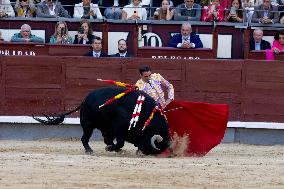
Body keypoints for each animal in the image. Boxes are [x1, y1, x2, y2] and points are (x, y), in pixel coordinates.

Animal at [33, 87, 171, 155]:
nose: (144, 153)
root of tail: (84, 101)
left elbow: (117, 142)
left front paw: (114, 149)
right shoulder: (119, 128)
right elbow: (120, 142)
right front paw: (111, 149)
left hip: (103, 127)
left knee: (105, 139)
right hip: (88, 125)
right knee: (85, 138)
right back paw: (89, 150)